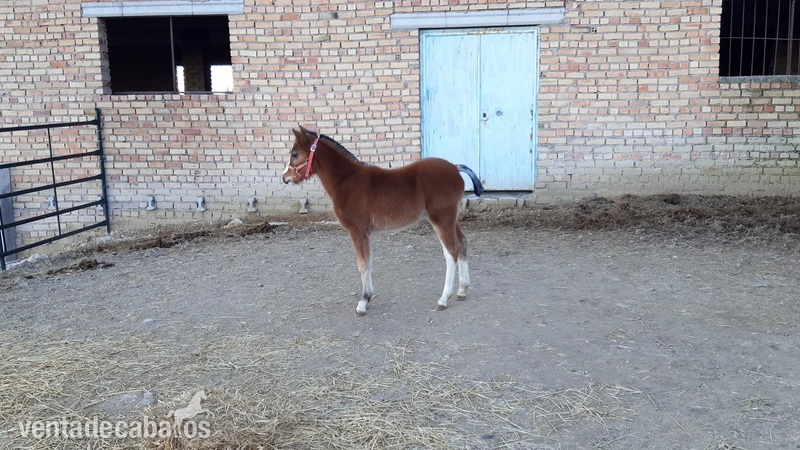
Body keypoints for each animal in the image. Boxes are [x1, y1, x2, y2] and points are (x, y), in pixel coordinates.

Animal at [282, 126, 484, 316]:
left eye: (295, 154)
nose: (285, 177)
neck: (347, 181)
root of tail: (455, 167)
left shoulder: (357, 231)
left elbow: (362, 264)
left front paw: (363, 302)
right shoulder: (365, 233)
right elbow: (368, 262)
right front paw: (368, 296)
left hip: (441, 219)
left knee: (451, 253)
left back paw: (444, 298)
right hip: (451, 219)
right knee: (462, 244)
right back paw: (462, 290)